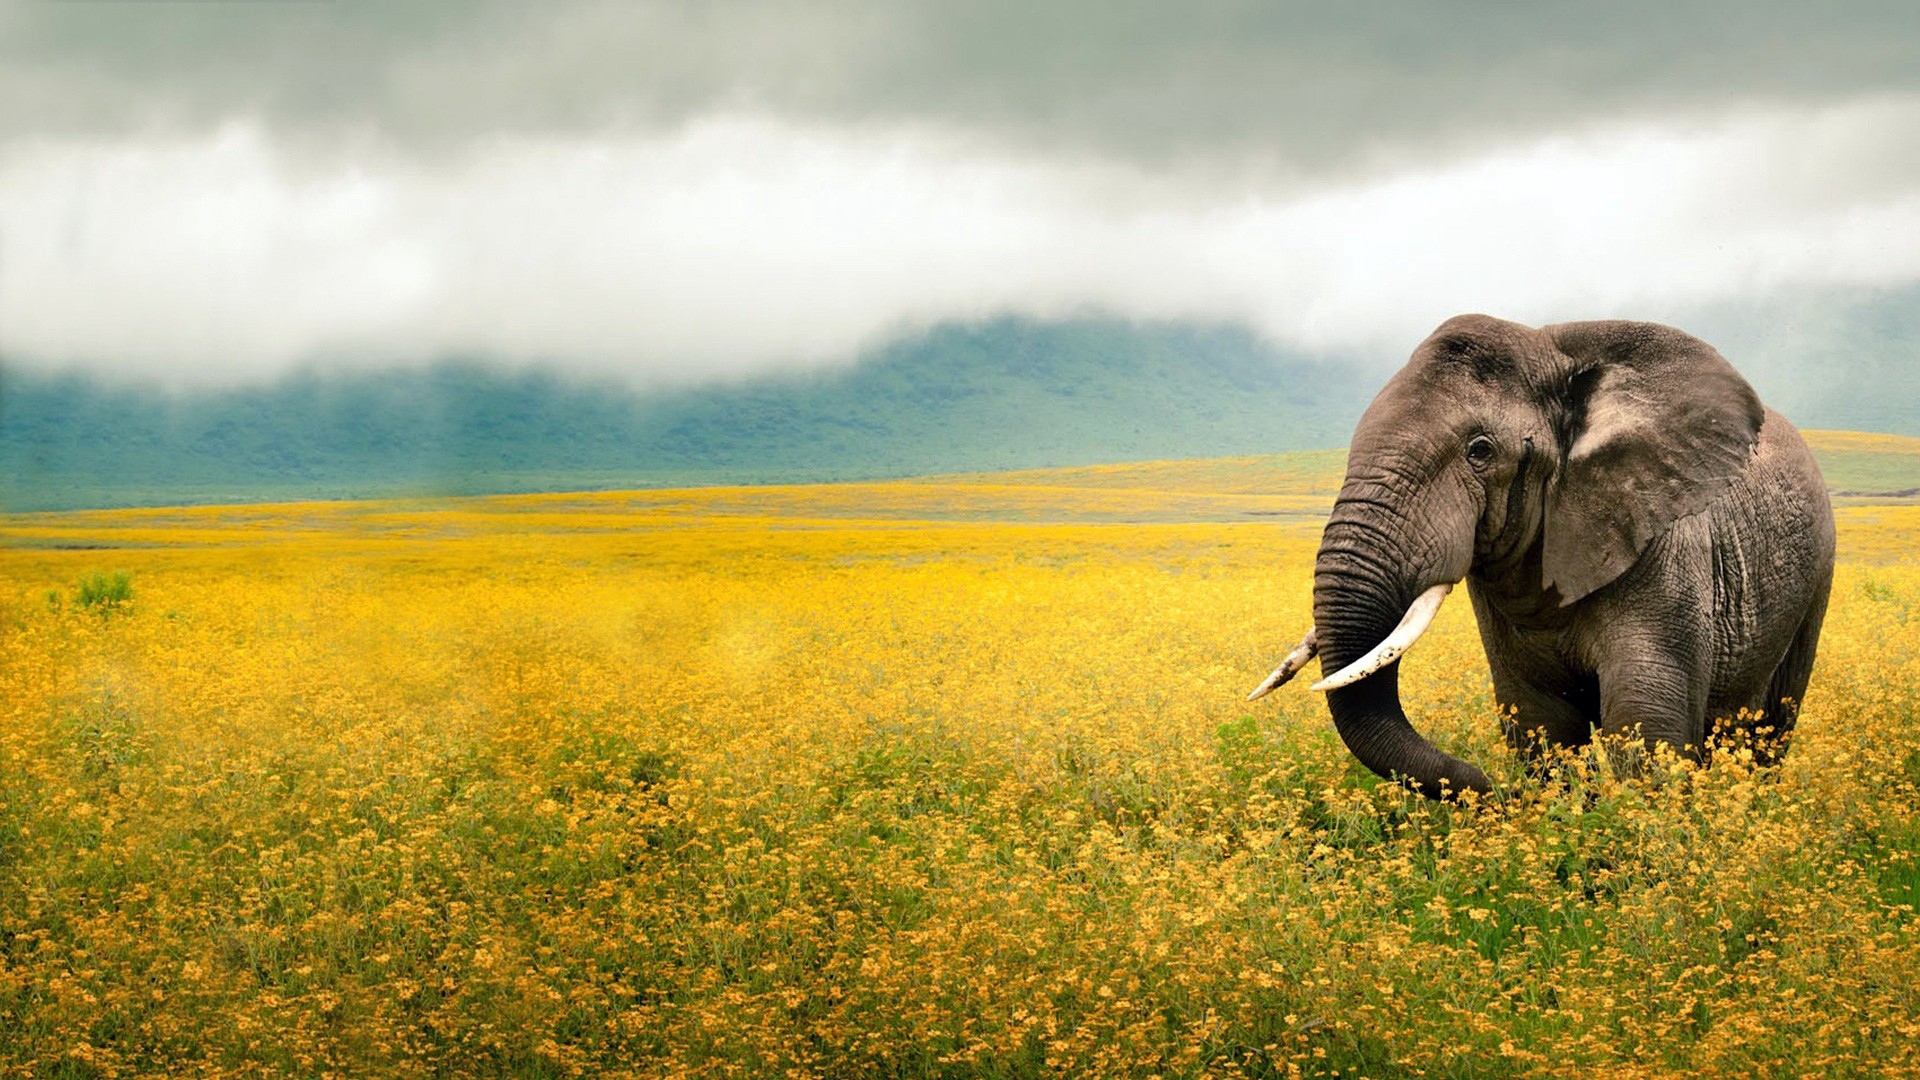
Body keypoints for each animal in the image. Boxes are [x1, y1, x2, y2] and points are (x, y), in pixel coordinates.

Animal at [1248, 314, 1835, 799]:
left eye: (1480, 451)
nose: (1489, 787)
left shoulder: (1667, 548)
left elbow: (1645, 724)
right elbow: (1541, 721)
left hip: (1816, 579)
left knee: (1770, 727)